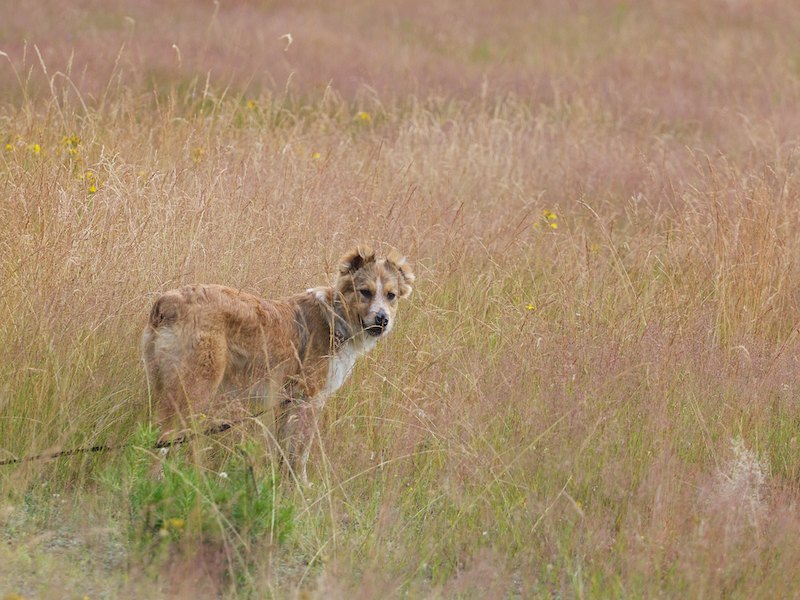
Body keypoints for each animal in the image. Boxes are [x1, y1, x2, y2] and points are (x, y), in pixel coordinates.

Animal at [141, 245, 414, 483]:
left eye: (391, 296)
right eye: (365, 292)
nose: (382, 319)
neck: (336, 318)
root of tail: (169, 300)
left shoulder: (287, 403)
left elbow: (285, 449)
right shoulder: (310, 400)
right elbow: (300, 452)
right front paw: (300, 486)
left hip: (164, 385)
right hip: (194, 389)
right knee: (164, 437)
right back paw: (157, 481)